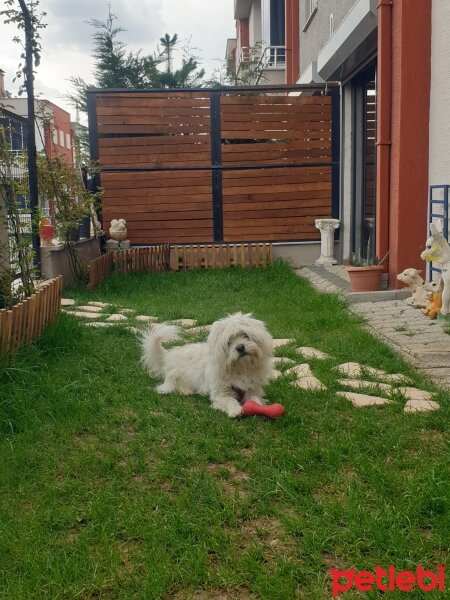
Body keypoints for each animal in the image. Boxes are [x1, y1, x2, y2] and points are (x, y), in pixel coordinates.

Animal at [142, 314, 272, 418]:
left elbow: (254, 400)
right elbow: (230, 400)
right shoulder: (220, 394)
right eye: (229, 341)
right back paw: (185, 390)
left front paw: (258, 407)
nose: (240, 347)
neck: (240, 369)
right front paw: (235, 410)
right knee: (170, 386)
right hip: (174, 376)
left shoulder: (252, 389)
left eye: (245, 335)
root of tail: (168, 355)